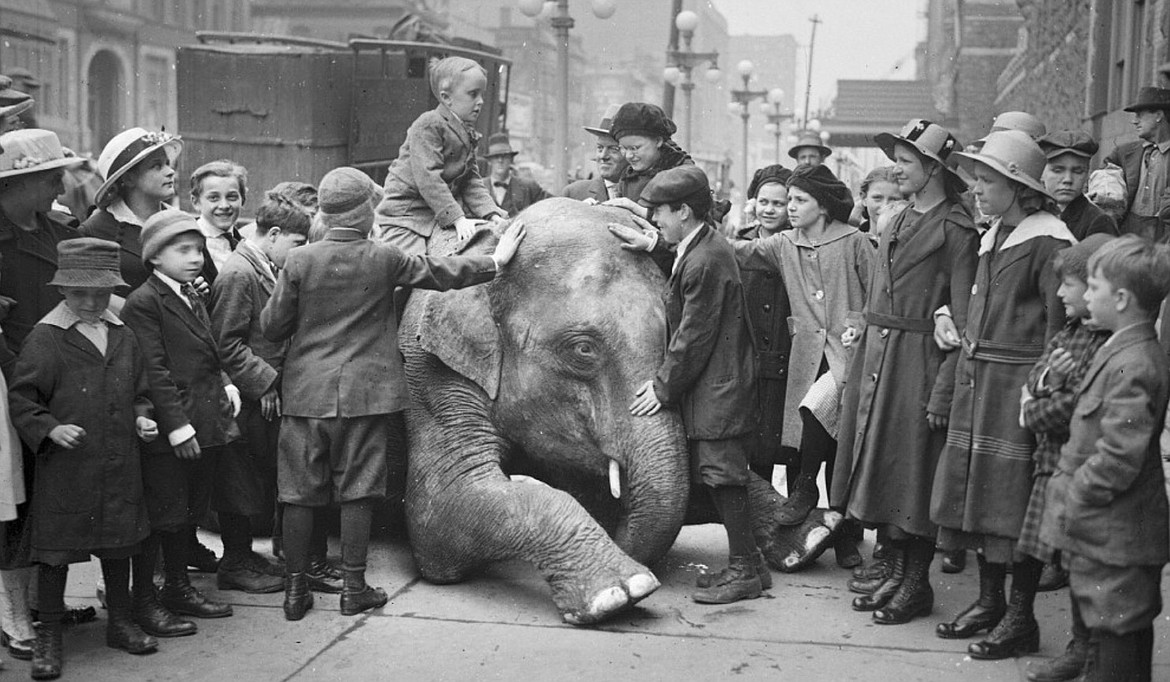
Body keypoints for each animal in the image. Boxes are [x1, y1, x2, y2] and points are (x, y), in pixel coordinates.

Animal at [397, 196, 837, 622]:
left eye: (674, 333)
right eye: (583, 350)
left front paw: (815, 535)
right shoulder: (428, 374)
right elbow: (438, 512)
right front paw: (621, 590)